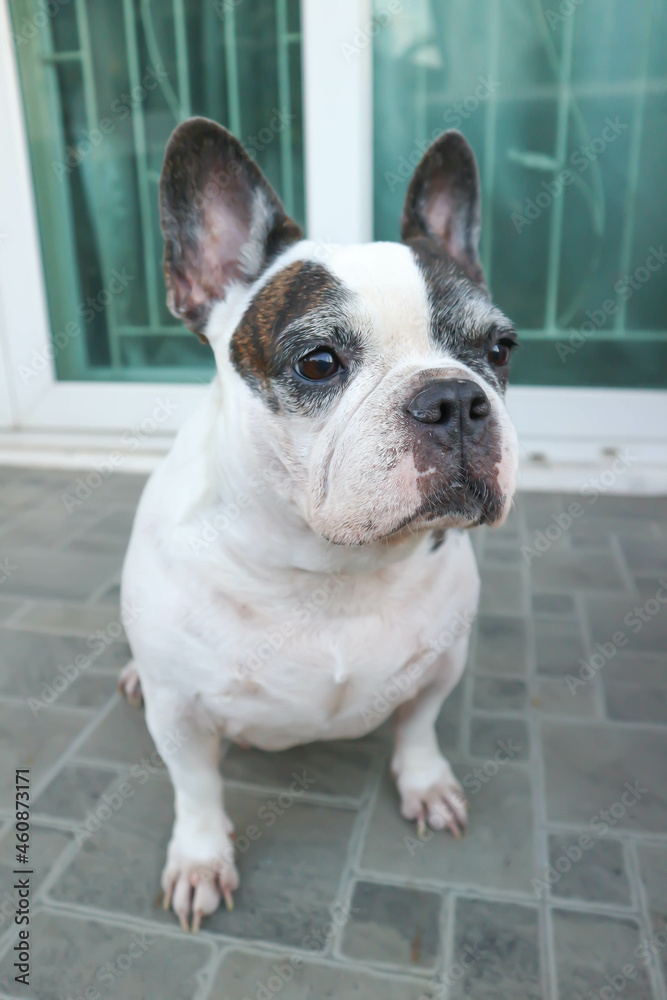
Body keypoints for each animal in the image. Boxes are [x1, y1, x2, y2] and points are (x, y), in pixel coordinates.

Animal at [121, 119, 520, 928]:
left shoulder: (443, 663)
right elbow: (196, 788)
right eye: (317, 362)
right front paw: (201, 858)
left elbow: (419, 726)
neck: (332, 569)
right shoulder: (180, 715)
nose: (454, 400)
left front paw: (425, 784)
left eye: (499, 350)